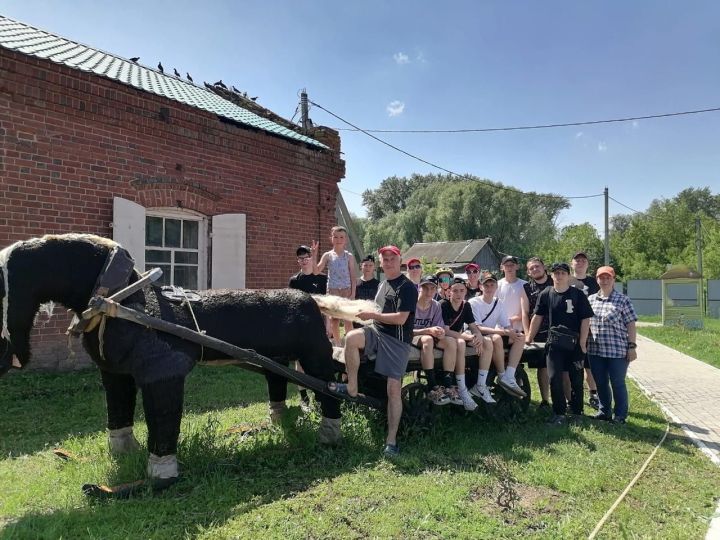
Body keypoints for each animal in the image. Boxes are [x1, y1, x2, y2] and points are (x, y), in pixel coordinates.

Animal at [0, 235, 346, 486]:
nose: (9, 358)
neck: (119, 302)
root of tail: (311, 299)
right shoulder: (116, 375)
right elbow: (119, 414)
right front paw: (124, 454)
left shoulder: (163, 375)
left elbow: (163, 422)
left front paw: (161, 475)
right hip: (276, 360)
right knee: (279, 382)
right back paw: (278, 421)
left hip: (315, 358)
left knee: (330, 388)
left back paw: (330, 436)